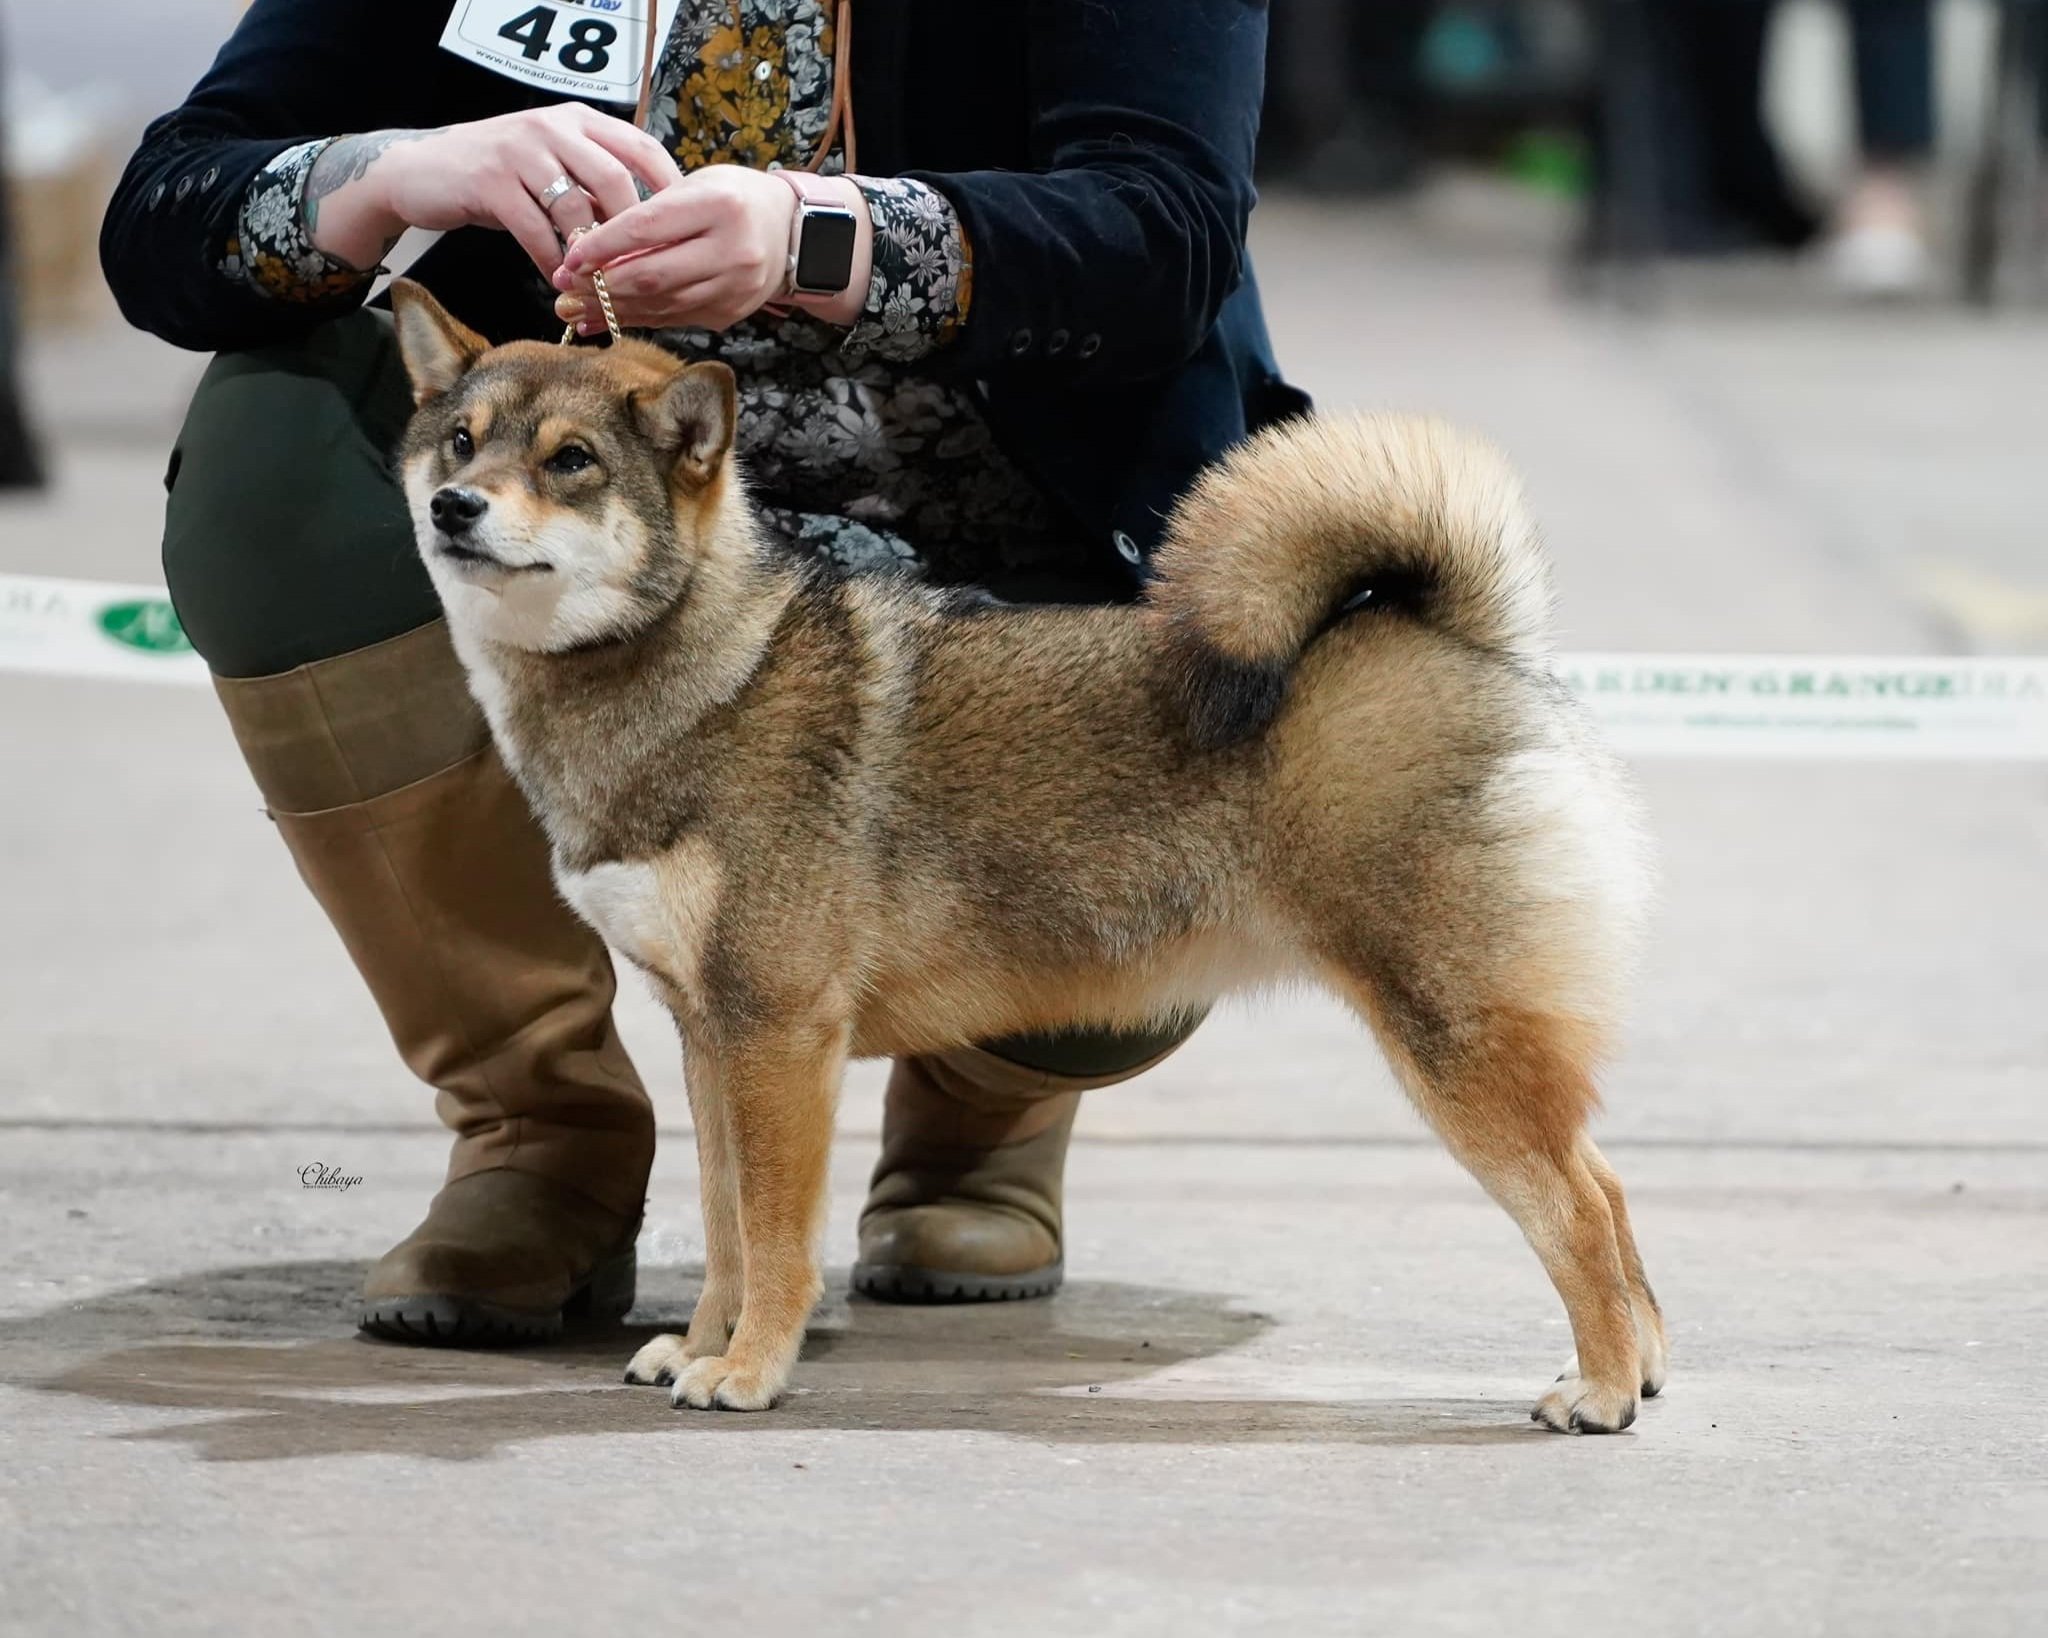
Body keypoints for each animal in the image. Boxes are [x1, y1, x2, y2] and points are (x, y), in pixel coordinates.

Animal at [385, 274, 1662, 1425]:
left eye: (570, 462)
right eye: (461, 441)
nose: (455, 507)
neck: (702, 671)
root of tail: (1467, 643)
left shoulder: (779, 1035)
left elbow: (774, 1240)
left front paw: (746, 1372)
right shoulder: (710, 1036)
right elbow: (723, 1226)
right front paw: (697, 1348)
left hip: (1450, 1037)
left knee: (1574, 1208)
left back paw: (1596, 1393)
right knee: (1605, 1185)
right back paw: (1635, 1368)